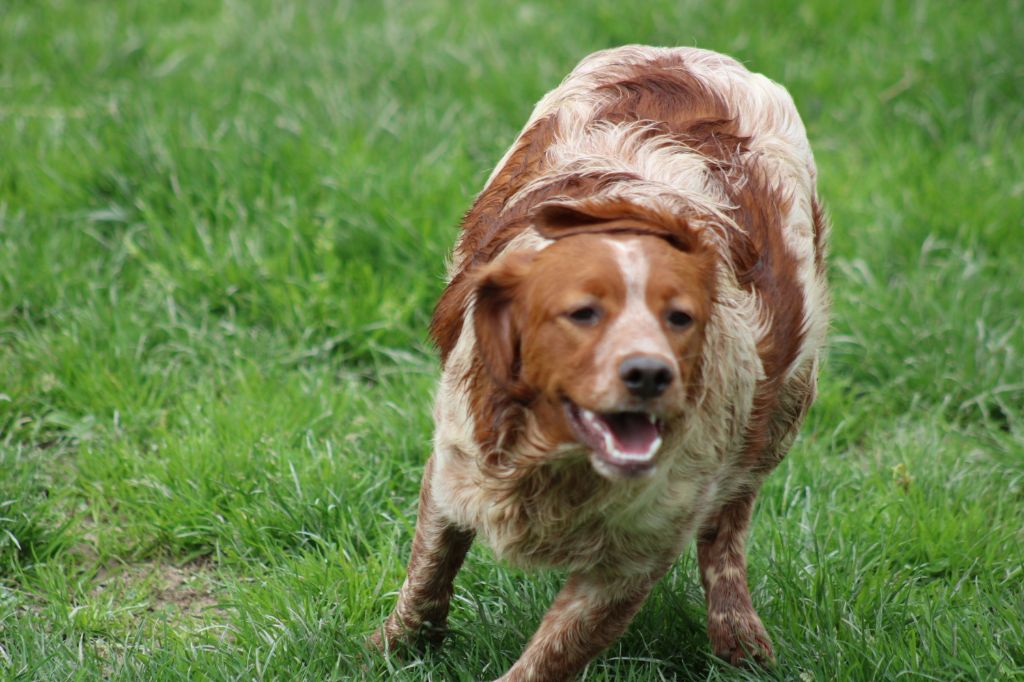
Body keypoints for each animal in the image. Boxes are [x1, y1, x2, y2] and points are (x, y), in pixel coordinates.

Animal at [372, 45, 827, 675]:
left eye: (679, 318)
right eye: (582, 314)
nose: (648, 374)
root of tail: (687, 52)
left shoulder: (642, 545)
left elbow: (550, 654)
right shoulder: (454, 467)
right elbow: (429, 570)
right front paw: (388, 649)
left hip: (788, 401)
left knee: (730, 522)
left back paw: (743, 643)